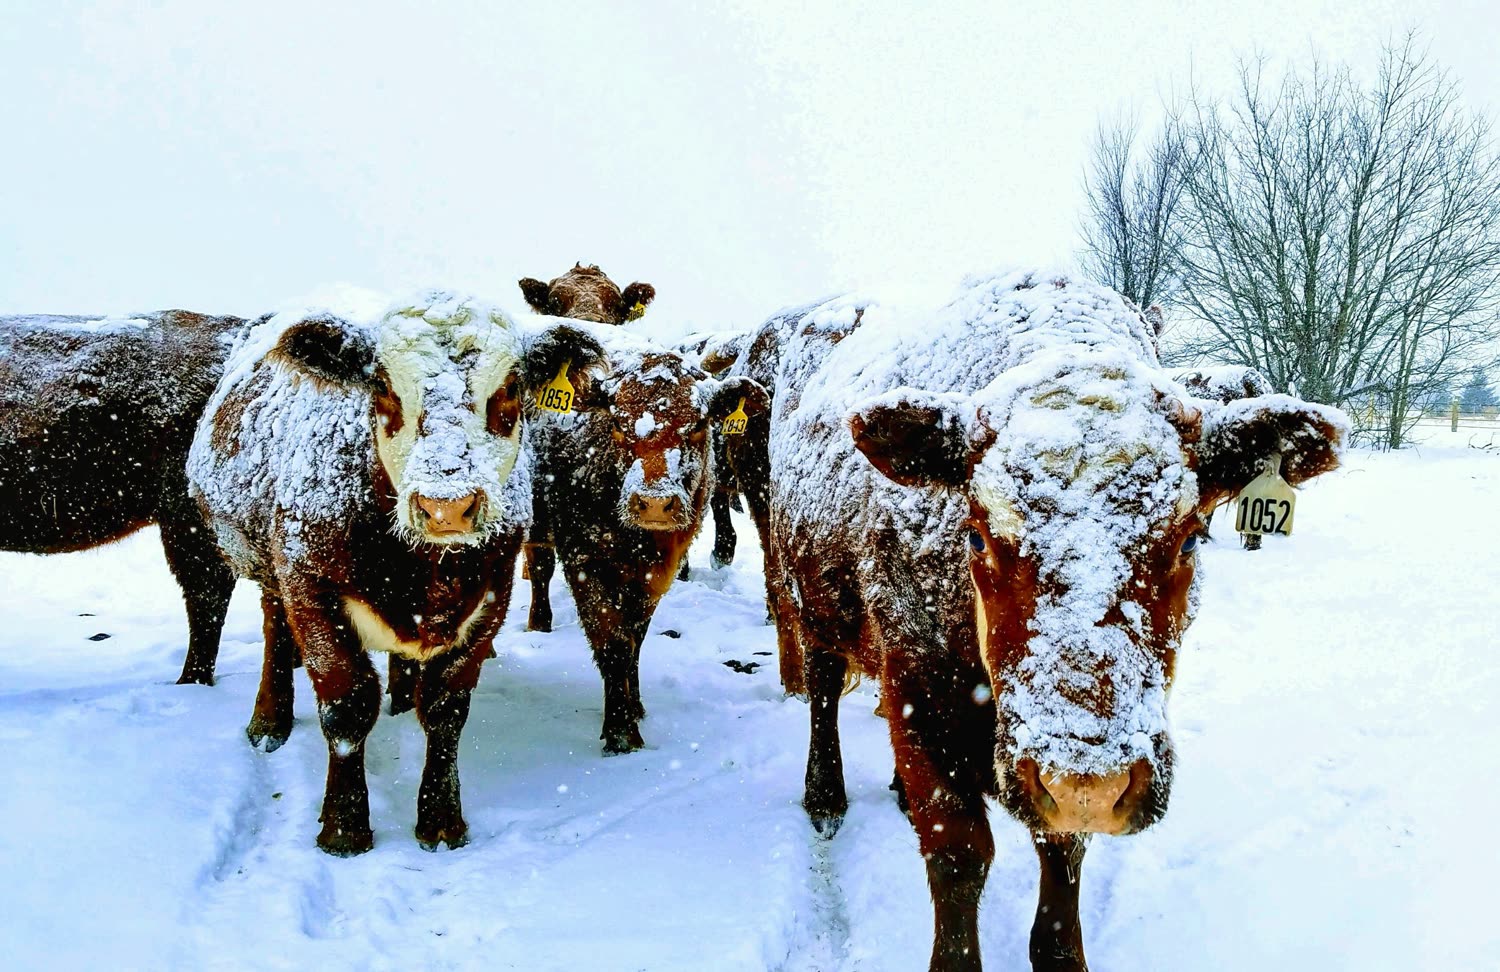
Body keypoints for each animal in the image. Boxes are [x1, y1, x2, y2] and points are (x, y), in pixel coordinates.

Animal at [187, 291, 601, 855]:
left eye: (511, 388)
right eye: (383, 386)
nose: (447, 506)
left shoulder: (490, 595)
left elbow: (447, 710)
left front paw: (441, 820)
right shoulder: (310, 587)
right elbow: (347, 704)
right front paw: (344, 826)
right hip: (268, 566)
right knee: (275, 626)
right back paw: (269, 719)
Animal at [522, 322, 753, 753]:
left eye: (698, 425)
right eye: (617, 422)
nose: (654, 503)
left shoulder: (655, 575)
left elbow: (635, 640)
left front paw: (636, 704)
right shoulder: (585, 563)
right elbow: (613, 644)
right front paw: (620, 732)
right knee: (538, 568)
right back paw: (538, 623)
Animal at [752, 270, 1346, 971]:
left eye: (1191, 537)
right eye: (977, 537)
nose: (1089, 781)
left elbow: (1063, 852)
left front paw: (1061, 952)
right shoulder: (919, 695)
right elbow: (958, 853)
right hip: (810, 600)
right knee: (821, 689)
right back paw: (825, 797)